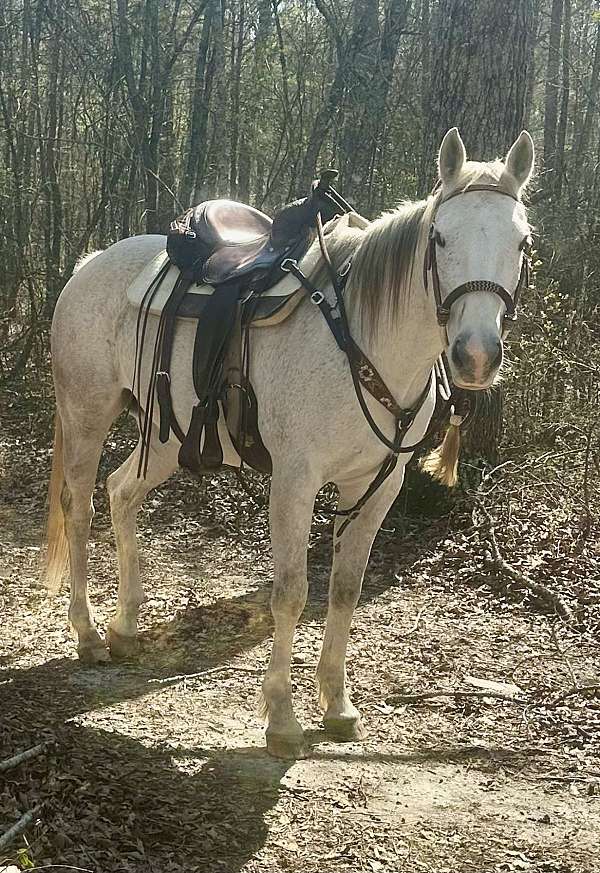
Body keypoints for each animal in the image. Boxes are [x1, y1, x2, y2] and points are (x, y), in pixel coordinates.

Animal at [45, 128, 534, 758]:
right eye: (440, 238)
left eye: (522, 242)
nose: (475, 356)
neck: (362, 336)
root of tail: (89, 265)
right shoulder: (295, 483)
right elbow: (291, 593)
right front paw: (281, 717)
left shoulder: (375, 487)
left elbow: (345, 589)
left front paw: (337, 706)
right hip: (87, 414)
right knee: (79, 508)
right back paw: (86, 634)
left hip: (167, 435)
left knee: (122, 492)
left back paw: (125, 626)